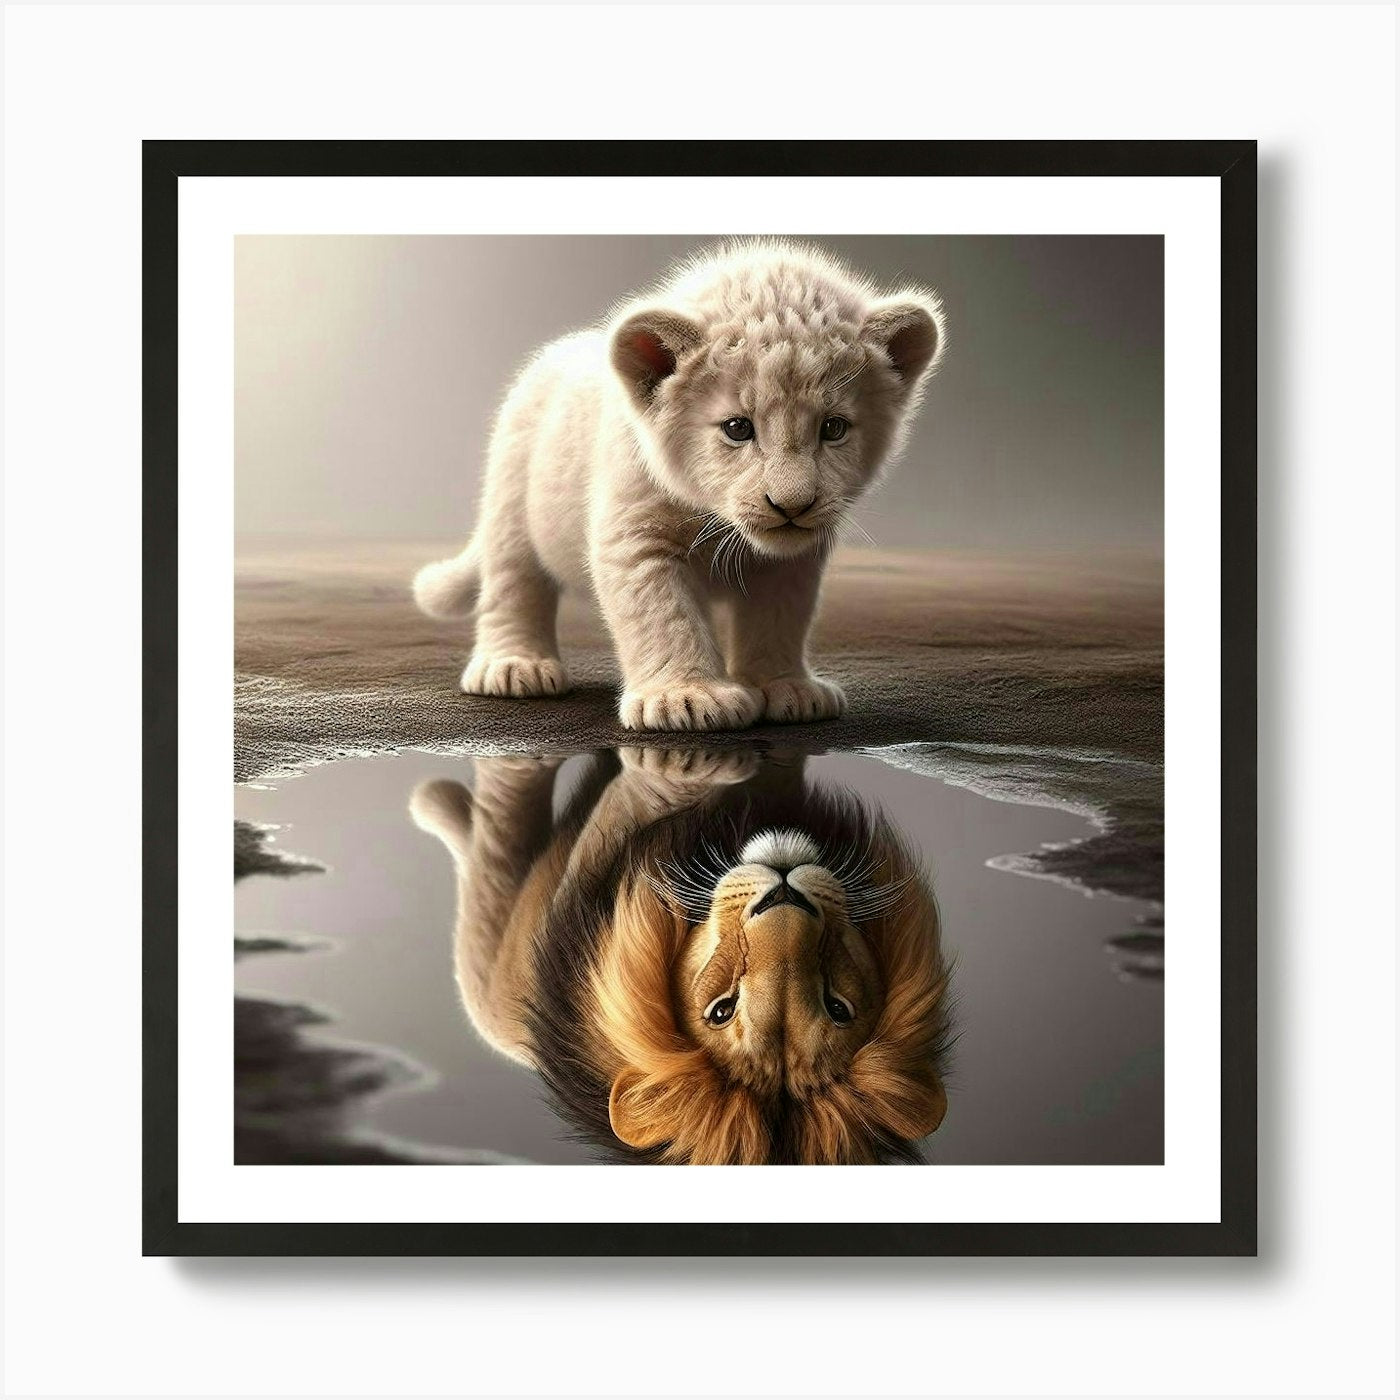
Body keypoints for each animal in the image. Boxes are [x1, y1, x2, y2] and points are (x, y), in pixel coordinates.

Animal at [409, 746, 952, 1164]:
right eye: (722, 1010)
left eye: (837, 1007)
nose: (783, 895)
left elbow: (631, 799)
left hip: (496, 987)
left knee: (492, 863)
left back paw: (449, 796)